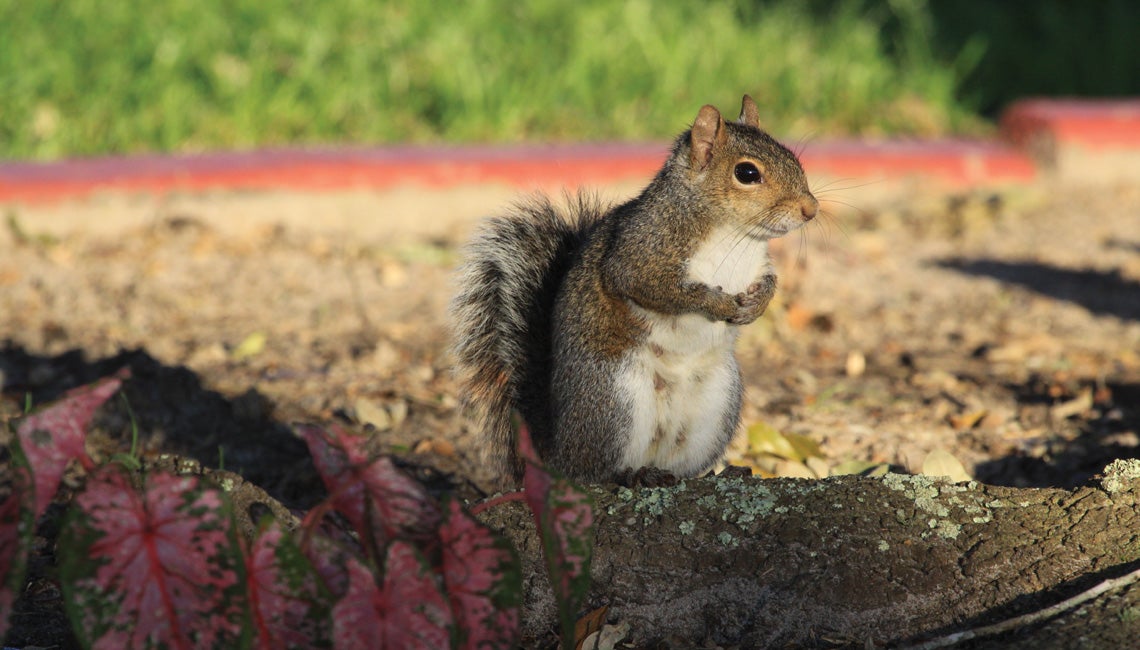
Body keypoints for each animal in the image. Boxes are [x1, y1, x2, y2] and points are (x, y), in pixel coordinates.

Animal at [451, 95, 817, 486]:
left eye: (791, 156)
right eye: (747, 173)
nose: (811, 209)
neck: (736, 235)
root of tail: (556, 454)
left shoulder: (758, 266)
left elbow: (771, 282)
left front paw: (758, 304)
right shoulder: (640, 251)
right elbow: (654, 286)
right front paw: (717, 303)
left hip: (717, 405)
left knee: (679, 465)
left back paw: (713, 473)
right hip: (615, 403)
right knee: (594, 472)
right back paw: (631, 475)